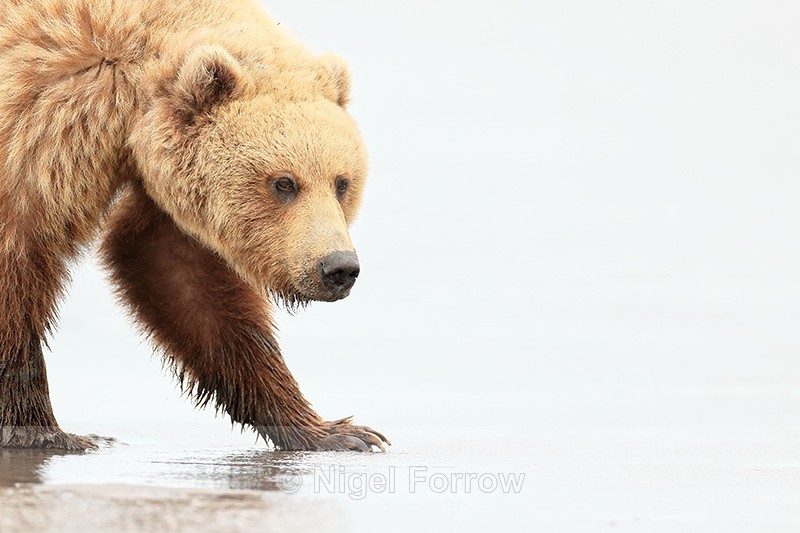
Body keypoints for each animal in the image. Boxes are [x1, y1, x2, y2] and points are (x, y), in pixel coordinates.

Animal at [0, 0, 389, 452]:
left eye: (342, 182)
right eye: (284, 182)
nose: (338, 267)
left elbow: (185, 280)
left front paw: (337, 431)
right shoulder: (39, 126)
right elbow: (20, 256)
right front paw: (42, 429)